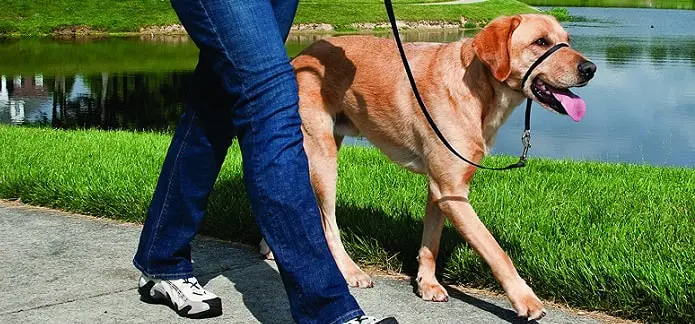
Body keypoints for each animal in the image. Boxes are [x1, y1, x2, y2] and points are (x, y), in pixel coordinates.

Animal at [258, 13, 596, 320]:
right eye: (541, 42)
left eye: (568, 39)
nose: (590, 69)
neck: (478, 90)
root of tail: (300, 56)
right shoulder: (453, 192)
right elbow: (495, 251)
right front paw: (525, 299)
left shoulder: (441, 188)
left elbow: (431, 241)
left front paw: (427, 284)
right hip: (323, 157)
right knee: (327, 224)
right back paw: (350, 270)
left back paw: (270, 247)